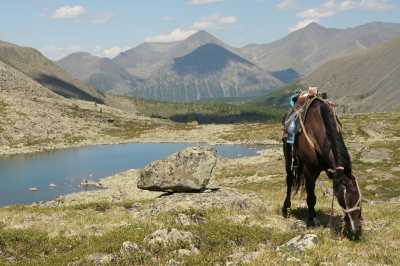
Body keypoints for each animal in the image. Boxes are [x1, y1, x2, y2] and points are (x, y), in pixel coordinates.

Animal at [282, 98, 362, 240]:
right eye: (342, 199)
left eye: (356, 195)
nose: (355, 231)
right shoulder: (309, 170)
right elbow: (310, 197)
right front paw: (310, 222)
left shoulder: (319, 171)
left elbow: (313, 196)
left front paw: (314, 216)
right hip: (288, 160)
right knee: (290, 181)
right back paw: (286, 209)